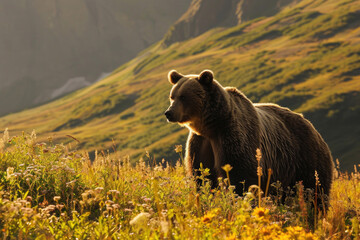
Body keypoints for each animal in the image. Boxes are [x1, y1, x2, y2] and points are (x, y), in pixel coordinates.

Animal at [166, 69, 334, 199]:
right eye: (172, 96)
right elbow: (202, 176)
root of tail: (312, 126)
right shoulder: (200, 144)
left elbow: (240, 177)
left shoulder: (233, 136)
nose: (169, 113)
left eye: (183, 97)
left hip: (305, 158)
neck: (212, 126)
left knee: (315, 190)